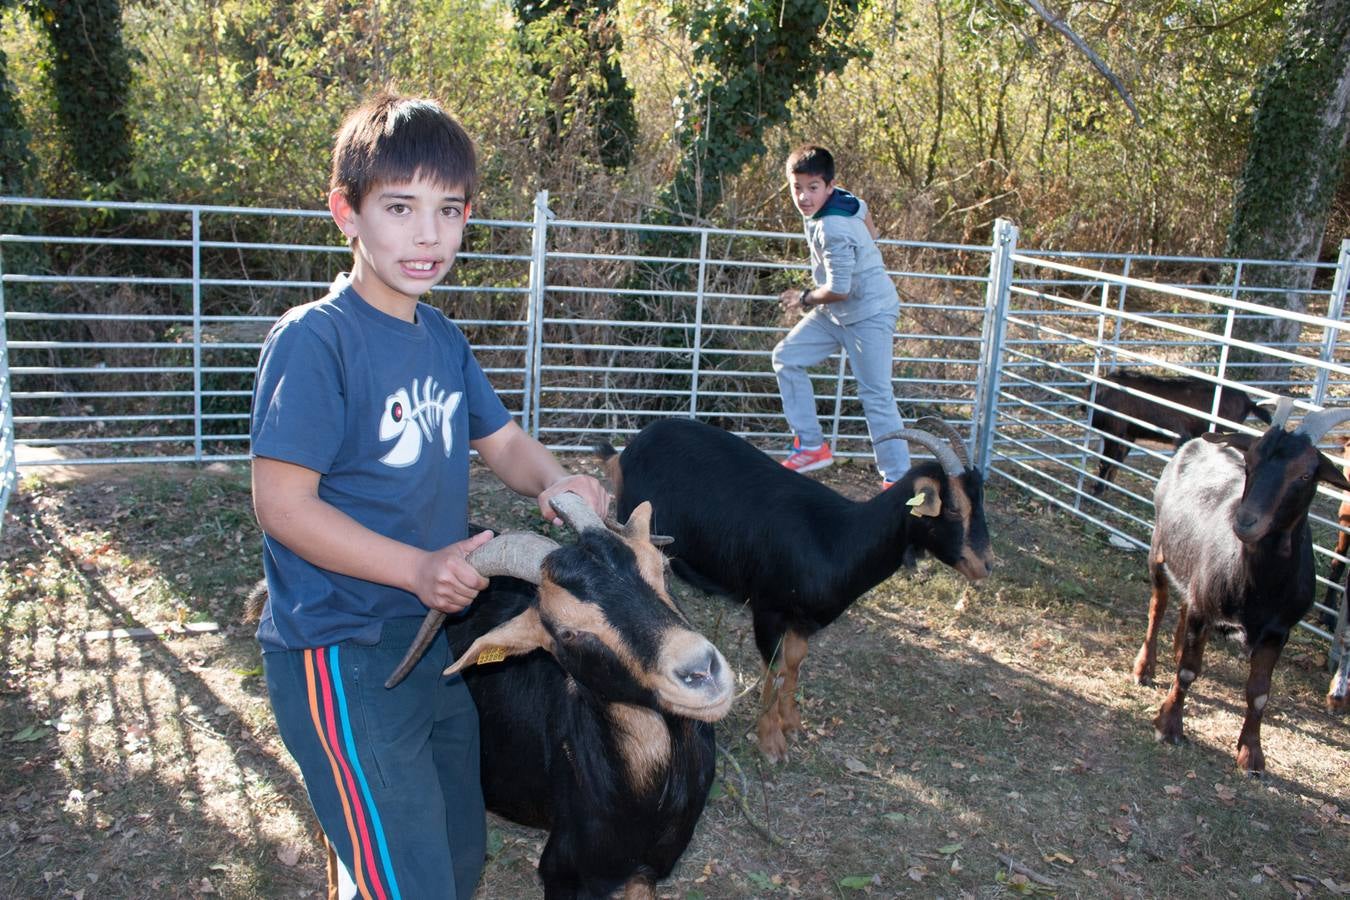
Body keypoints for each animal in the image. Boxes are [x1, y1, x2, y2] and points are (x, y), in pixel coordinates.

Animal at [596, 418, 999, 766]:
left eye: (979, 501)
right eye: (953, 507)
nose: (986, 565)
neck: (836, 538)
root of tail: (627, 450)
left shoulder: (803, 621)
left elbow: (794, 662)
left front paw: (792, 723)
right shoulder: (768, 609)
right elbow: (774, 669)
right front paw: (771, 743)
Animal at [1128, 402, 1350, 777]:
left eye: (1306, 475)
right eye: (1251, 461)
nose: (1246, 521)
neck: (1259, 587)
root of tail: (1193, 442)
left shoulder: (1278, 631)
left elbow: (1259, 692)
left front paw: (1251, 756)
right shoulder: (1205, 610)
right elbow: (1188, 671)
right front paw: (1168, 725)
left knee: (1183, 605)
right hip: (1158, 548)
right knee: (1159, 605)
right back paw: (1145, 667)